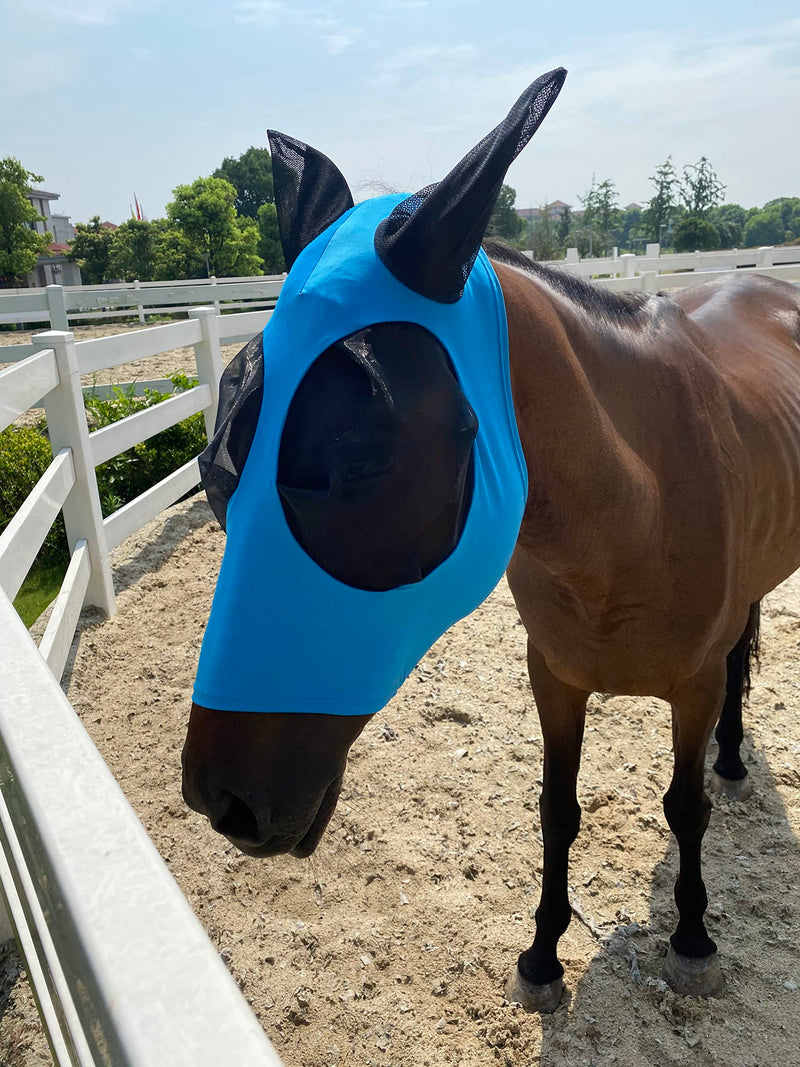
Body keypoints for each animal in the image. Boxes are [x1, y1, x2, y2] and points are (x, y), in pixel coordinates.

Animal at [181, 67, 800, 1012]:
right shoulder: (556, 677)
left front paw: (693, 936)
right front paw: (543, 951)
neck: (634, 509)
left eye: (362, 458)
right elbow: (557, 808)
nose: (222, 800)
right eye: (216, 469)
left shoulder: (689, 690)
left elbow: (683, 805)